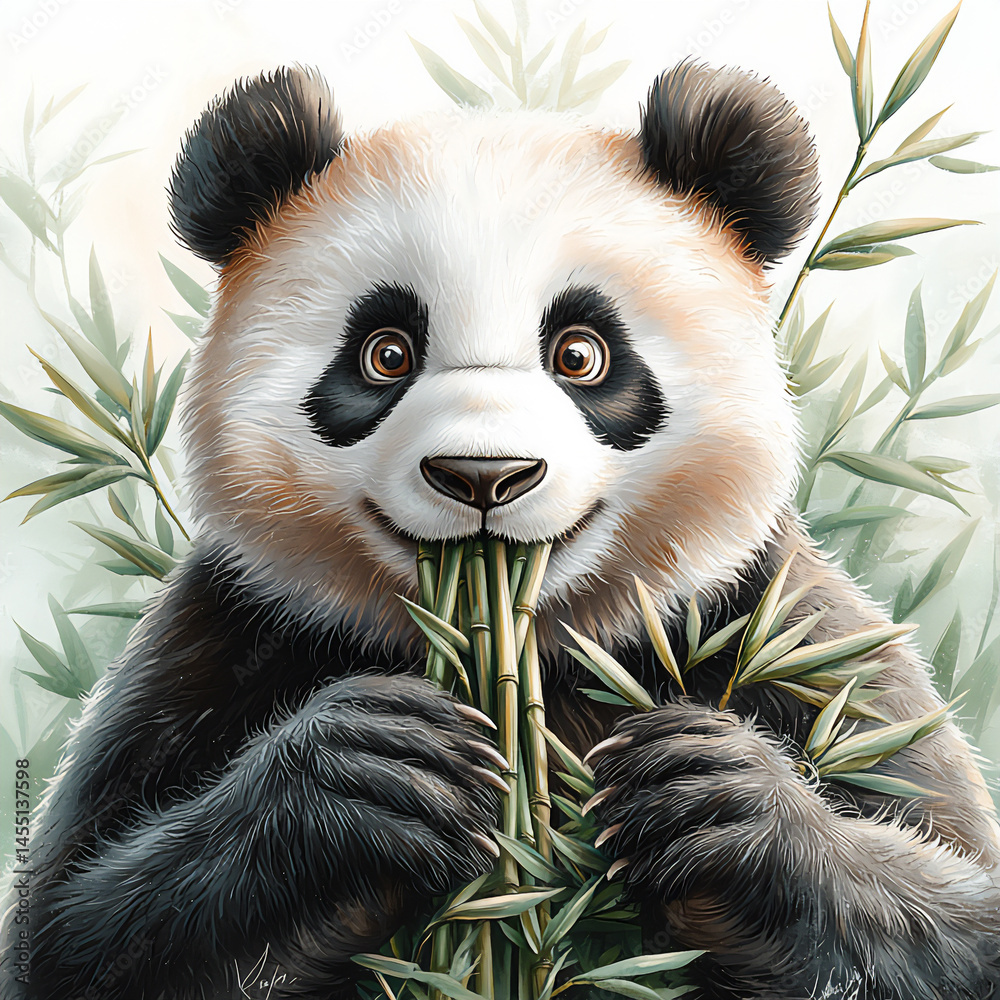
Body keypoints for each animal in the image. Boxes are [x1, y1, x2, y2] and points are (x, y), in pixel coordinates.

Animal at [3, 61, 1000, 1000]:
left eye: (581, 354)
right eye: (386, 354)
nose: (483, 476)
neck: (540, 643)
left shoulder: (786, 627)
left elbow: (959, 911)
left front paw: (708, 798)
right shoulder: (229, 633)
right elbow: (75, 928)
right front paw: (375, 771)